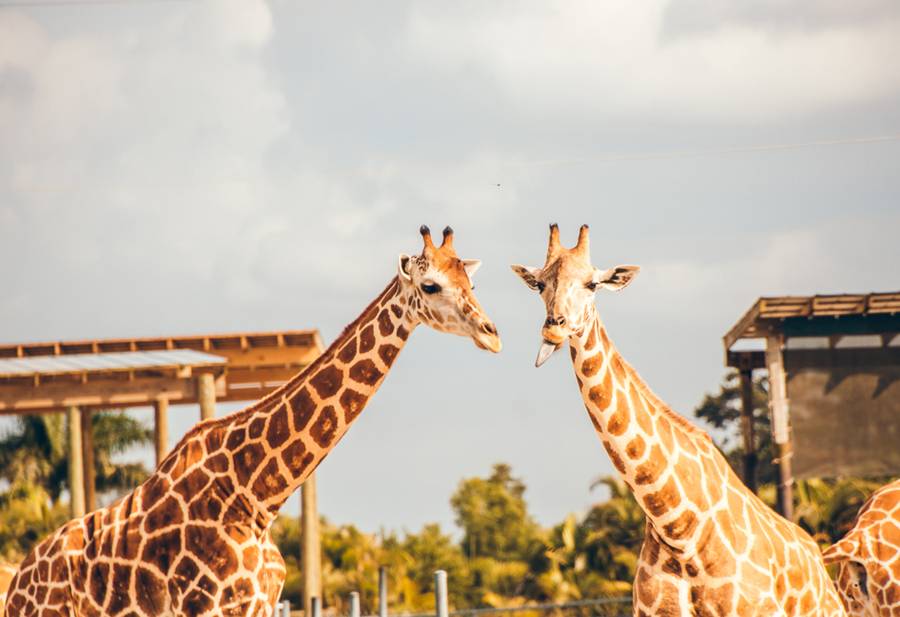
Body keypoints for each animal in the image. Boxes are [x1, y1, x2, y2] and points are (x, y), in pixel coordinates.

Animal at [4, 225, 501, 617]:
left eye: (471, 282)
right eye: (431, 286)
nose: (492, 335)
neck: (257, 496)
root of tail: (15, 585)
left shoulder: (260, 604)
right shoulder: (208, 607)